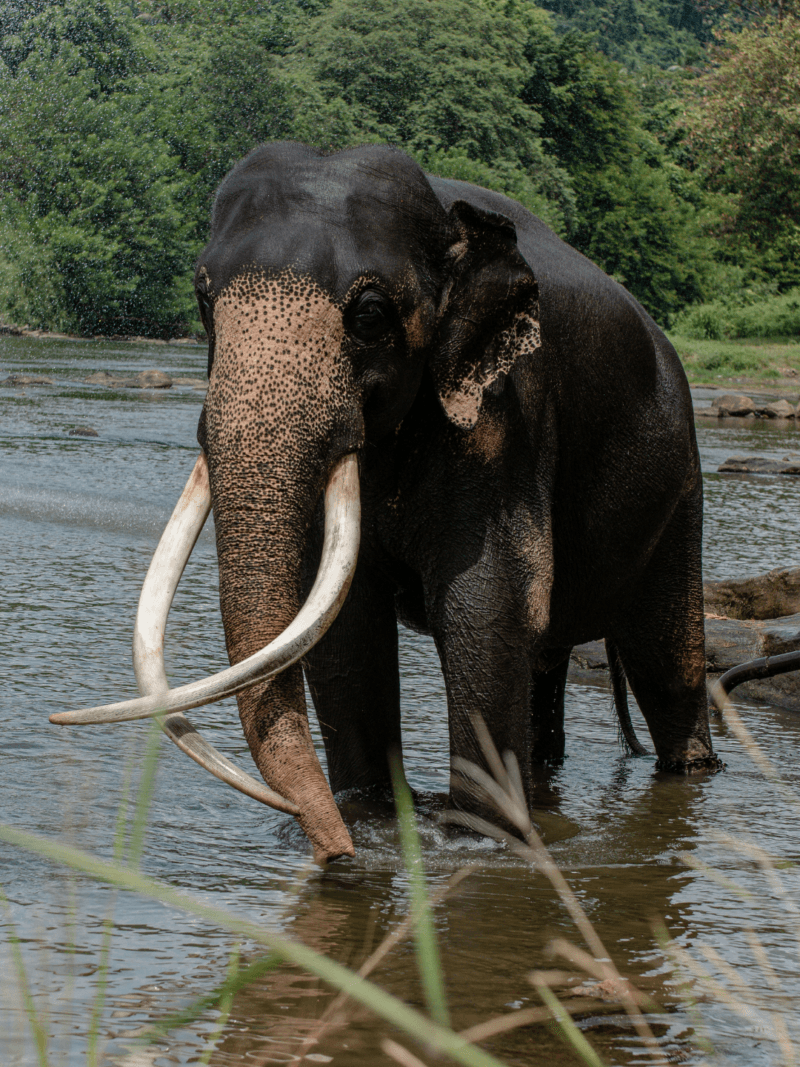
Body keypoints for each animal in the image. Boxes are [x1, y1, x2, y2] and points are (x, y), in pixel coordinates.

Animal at [54, 141, 720, 863]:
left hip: (680, 482)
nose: (334, 852)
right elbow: (345, 623)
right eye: (204, 298)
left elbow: (486, 603)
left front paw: (477, 841)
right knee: (549, 665)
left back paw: (689, 770)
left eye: (370, 313)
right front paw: (371, 821)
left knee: (667, 659)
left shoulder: (505, 417)